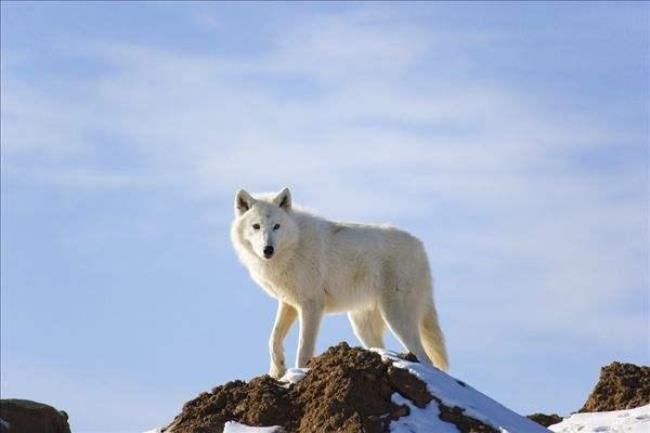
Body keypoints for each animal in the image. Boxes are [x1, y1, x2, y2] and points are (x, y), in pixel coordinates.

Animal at [230, 187, 448, 376]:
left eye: (276, 226)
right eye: (256, 226)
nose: (268, 249)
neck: (294, 245)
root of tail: (420, 246)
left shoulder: (312, 305)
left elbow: (303, 348)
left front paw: (298, 373)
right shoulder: (288, 303)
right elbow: (273, 339)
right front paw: (277, 371)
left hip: (396, 317)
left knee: (426, 359)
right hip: (363, 325)